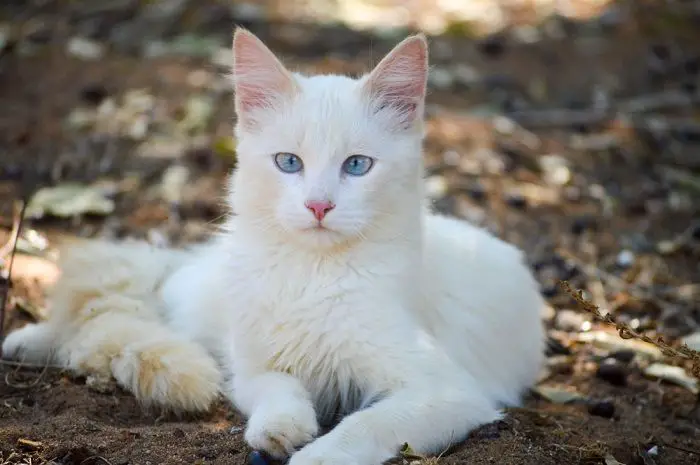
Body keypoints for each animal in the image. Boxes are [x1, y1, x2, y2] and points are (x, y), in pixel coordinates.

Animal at [4, 29, 548, 464]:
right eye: (289, 162)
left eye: (357, 166)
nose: (318, 206)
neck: (312, 274)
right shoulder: (254, 366)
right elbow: (276, 390)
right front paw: (281, 430)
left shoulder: (447, 391)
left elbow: (365, 425)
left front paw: (315, 455)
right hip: (199, 302)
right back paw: (26, 341)